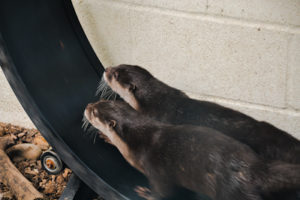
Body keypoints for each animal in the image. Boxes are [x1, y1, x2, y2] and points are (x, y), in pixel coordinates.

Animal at [84, 101, 300, 200]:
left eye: (95, 113)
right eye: (100, 101)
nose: (87, 106)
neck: (138, 144)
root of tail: (256, 168)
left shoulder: (155, 169)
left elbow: (164, 192)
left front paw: (146, 193)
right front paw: (106, 137)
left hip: (231, 192)